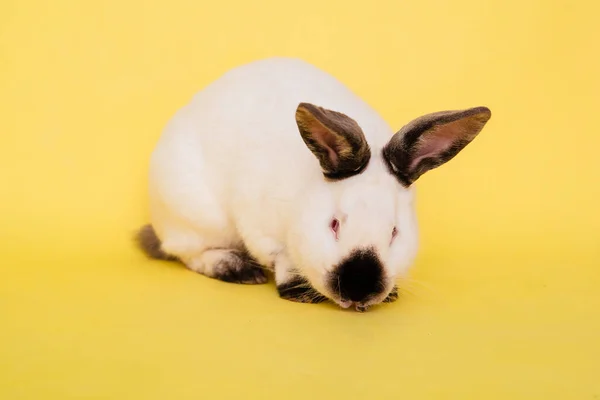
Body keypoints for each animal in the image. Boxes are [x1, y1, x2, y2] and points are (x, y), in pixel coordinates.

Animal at [137, 57, 492, 312]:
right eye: (333, 225)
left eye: (394, 233)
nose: (358, 289)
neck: (303, 199)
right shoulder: (261, 229)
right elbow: (283, 259)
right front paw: (298, 290)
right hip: (195, 216)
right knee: (188, 253)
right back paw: (236, 269)